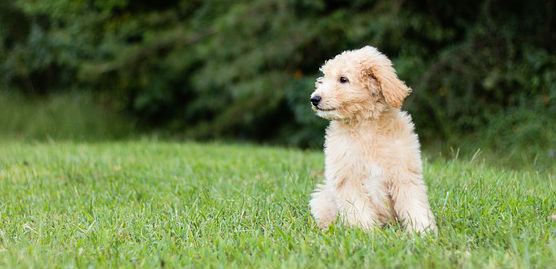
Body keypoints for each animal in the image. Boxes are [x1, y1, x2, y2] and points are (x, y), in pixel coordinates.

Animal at [308, 46, 438, 232]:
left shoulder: (404, 173)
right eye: (324, 78)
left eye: (343, 79)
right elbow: (358, 209)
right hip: (322, 199)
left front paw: (422, 230)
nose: (314, 99)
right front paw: (366, 233)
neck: (365, 127)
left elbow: (414, 204)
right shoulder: (348, 179)